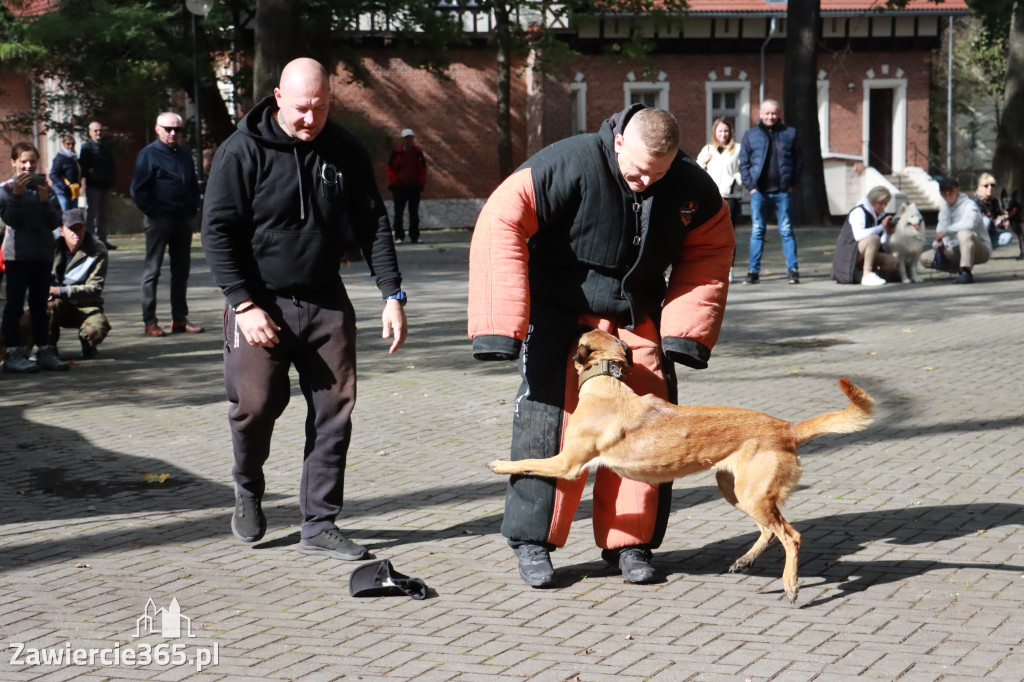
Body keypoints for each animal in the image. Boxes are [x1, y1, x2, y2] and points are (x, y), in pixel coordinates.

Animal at [487, 329, 872, 602]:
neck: (607, 382)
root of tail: (788, 429)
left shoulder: (566, 464)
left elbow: (528, 462)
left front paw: (501, 464)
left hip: (751, 495)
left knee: (791, 536)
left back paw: (790, 585)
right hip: (736, 491)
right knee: (769, 531)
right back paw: (745, 561)